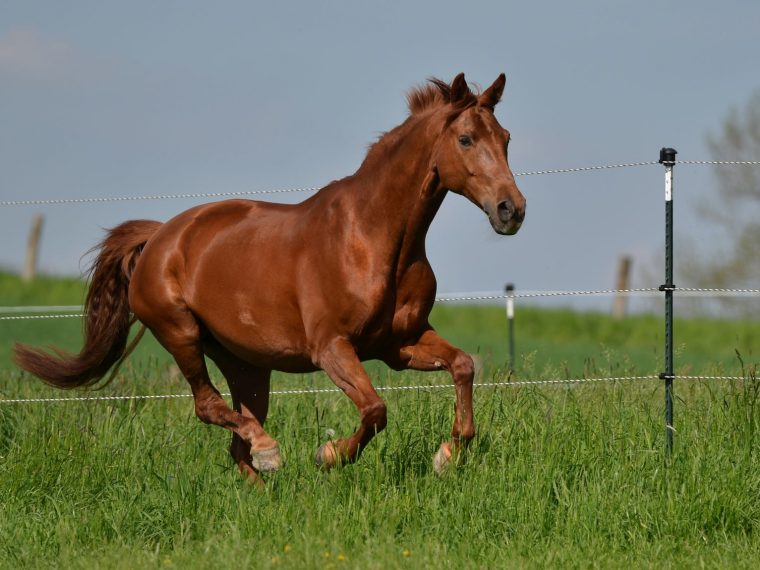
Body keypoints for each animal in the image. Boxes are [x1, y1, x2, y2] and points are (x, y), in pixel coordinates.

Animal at [19, 71, 528, 480]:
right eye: (466, 139)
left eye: (505, 138)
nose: (512, 210)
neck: (372, 237)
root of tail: (160, 235)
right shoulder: (332, 347)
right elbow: (375, 409)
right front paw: (330, 455)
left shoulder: (399, 344)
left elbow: (462, 366)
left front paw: (447, 455)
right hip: (181, 333)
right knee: (209, 407)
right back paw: (270, 451)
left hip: (246, 365)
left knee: (236, 443)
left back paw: (263, 480)